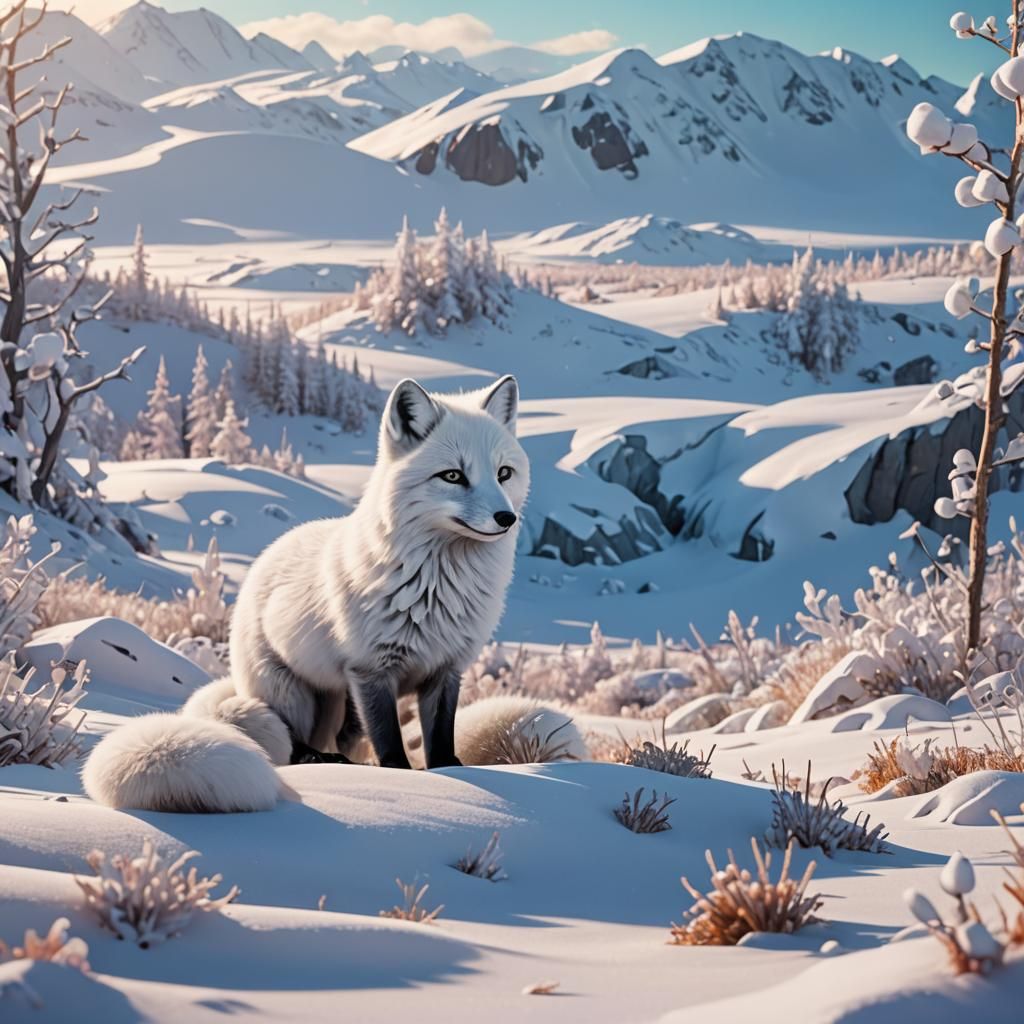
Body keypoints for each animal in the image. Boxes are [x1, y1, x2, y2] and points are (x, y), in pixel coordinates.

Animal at [83, 374, 554, 813]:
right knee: (295, 742)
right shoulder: (371, 670)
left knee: (338, 738)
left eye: (504, 473)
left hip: (337, 704)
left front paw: (451, 773)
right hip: (292, 695)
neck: (438, 587)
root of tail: (271, 551)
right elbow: (390, 745)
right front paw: (401, 780)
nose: (507, 518)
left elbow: (440, 742)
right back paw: (320, 759)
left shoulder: (445, 669)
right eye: (453, 476)